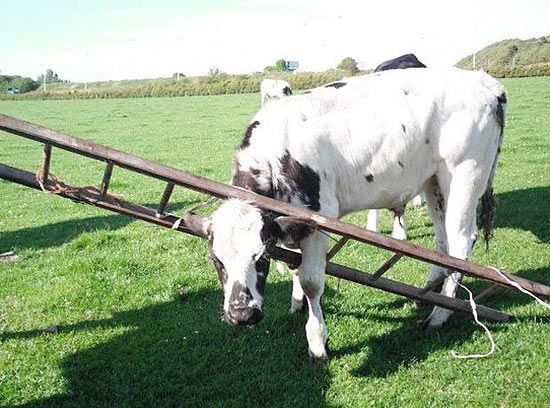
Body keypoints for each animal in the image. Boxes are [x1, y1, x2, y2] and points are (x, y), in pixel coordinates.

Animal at [191, 67, 508, 364]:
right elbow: (294, 267)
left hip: (464, 173)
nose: (242, 314)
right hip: (433, 181)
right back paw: (429, 292)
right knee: (442, 241)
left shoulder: (319, 219)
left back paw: (439, 315)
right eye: (216, 260)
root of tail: (485, 82)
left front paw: (317, 343)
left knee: (460, 242)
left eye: (261, 257)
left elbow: (311, 281)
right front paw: (296, 303)